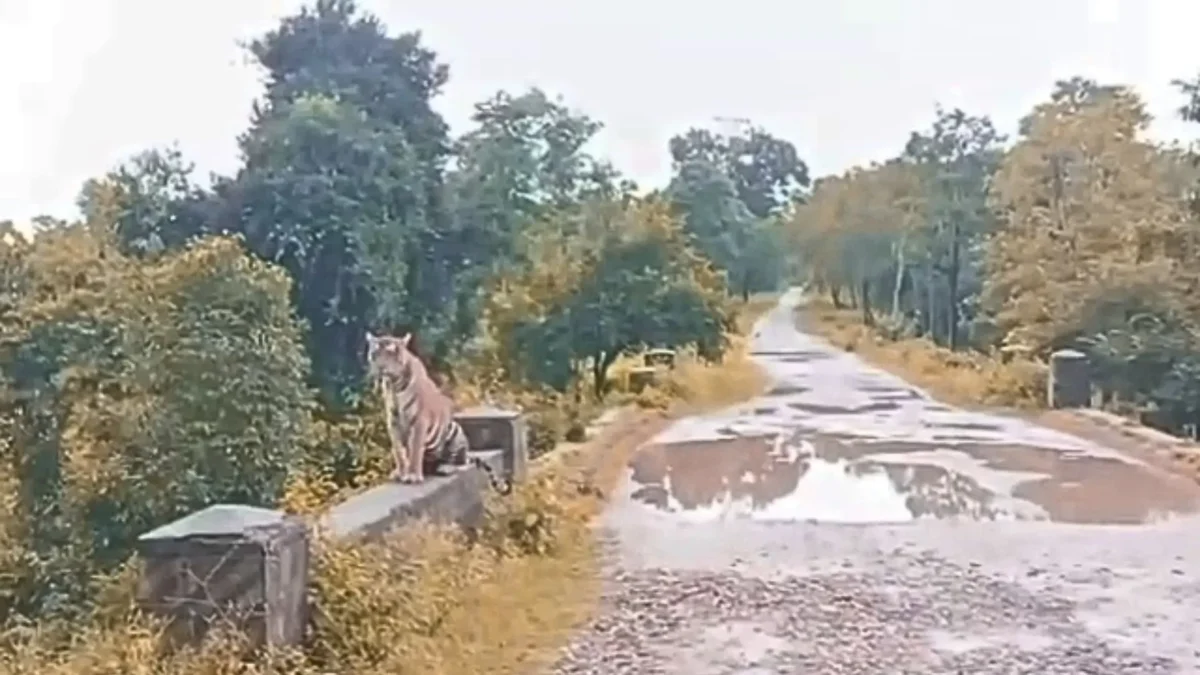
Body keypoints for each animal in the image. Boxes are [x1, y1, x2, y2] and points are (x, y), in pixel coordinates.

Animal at [365, 332, 508, 492]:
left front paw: (413, 475)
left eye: (391, 353)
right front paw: (401, 472)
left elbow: (415, 449)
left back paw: (445, 467)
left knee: (458, 461)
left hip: (454, 430)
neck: (393, 385)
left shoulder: (419, 420)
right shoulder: (393, 422)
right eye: (375, 354)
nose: (381, 368)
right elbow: (399, 451)